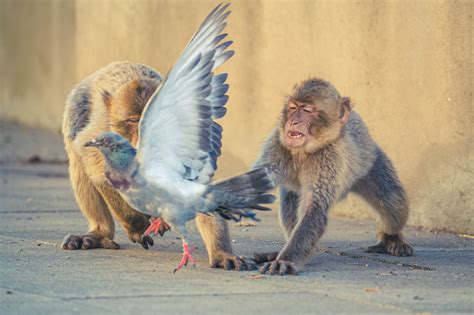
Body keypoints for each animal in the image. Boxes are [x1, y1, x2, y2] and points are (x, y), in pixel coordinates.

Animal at [64, 61, 256, 272]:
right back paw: (101, 233)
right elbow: (97, 171)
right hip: (77, 107)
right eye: (133, 121)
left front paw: (222, 253)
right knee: (78, 158)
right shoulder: (101, 134)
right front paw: (137, 227)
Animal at [254, 78, 412, 276]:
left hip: (372, 164)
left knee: (394, 204)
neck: (304, 151)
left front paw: (285, 260)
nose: (293, 122)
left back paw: (391, 238)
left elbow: (315, 207)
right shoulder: (276, 143)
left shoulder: (329, 156)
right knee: (289, 201)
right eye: (293, 107)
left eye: (308, 110)